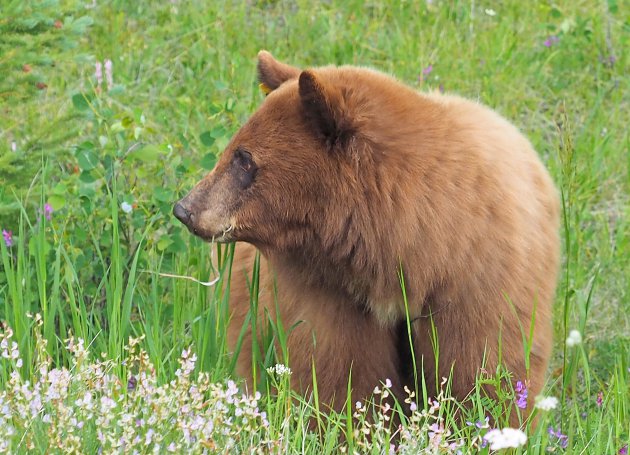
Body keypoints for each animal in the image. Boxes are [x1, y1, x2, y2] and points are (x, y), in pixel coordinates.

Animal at [174, 50, 564, 424]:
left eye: (244, 158)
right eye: (234, 149)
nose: (185, 209)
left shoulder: (479, 273)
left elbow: (482, 364)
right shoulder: (329, 292)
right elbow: (341, 370)